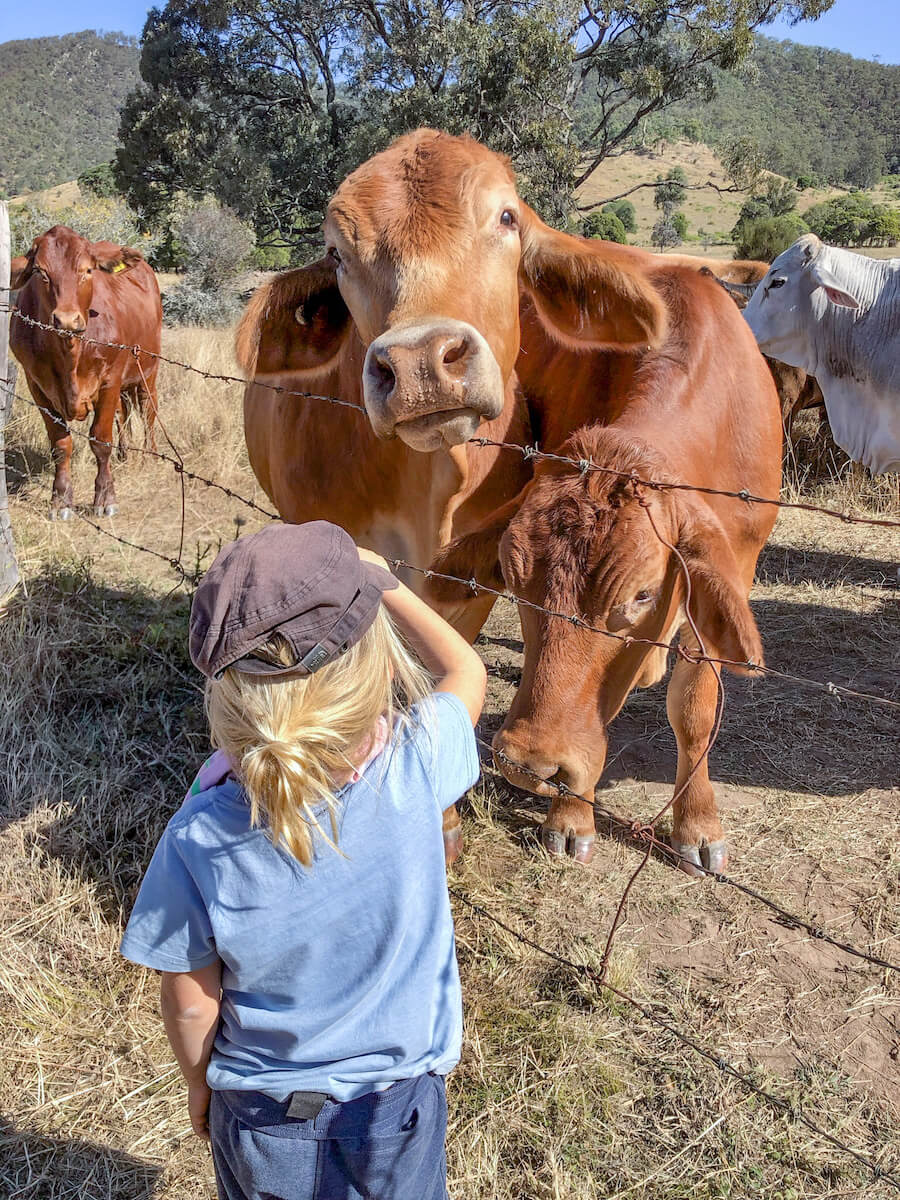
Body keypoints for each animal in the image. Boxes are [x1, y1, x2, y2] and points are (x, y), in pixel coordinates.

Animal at [10, 226, 162, 518]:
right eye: (41, 272)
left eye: (88, 270)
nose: (67, 320)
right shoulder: (37, 387)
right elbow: (60, 445)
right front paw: (60, 500)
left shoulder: (109, 380)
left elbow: (100, 439)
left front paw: (105, 498)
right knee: (123, 414)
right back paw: (125, 453)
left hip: (148, 369)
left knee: (148, 410)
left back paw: (150, 454)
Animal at [428, 258, 782, 874]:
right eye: (515, 582)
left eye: (641, 595)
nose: (532, 765)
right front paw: (571, 815)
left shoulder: (734, 569)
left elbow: (695, 708)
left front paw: (698, 824)